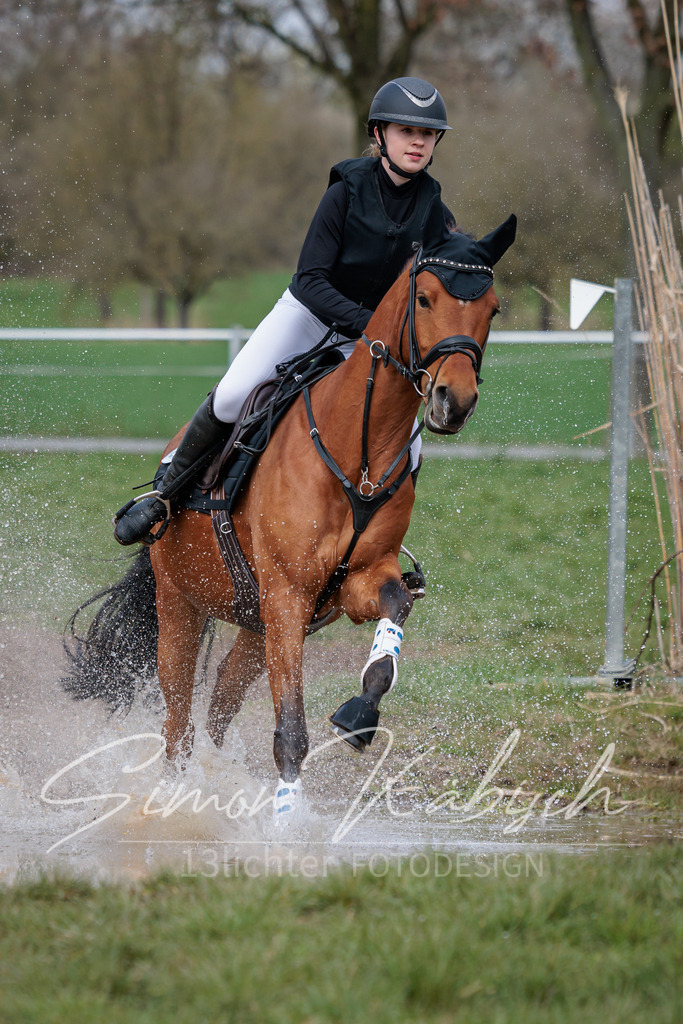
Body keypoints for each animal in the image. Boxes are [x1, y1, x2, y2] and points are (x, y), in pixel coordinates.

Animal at [63, 214, 516, 824]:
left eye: (492, 309)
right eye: (424, 298)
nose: (454, 402)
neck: (358, 451)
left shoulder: (351, 585)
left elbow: (392, 618)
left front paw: (358, 717)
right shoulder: (287, 593)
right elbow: (291, 732)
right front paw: (288, 823)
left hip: (258, 626)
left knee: (220, 703)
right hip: (182, 604)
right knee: (177, 722)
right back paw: (180, 802)